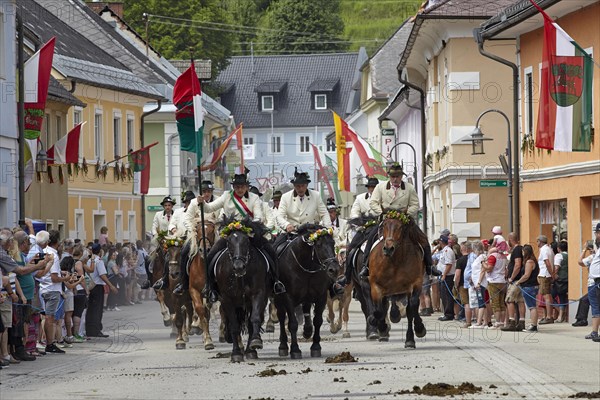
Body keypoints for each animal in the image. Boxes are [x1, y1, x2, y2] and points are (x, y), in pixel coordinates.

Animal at [213, 217, 272, 364]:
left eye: (246, 241)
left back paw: (251, 349)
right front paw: (236, 353)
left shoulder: (258, 294)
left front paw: (255, 343)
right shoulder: (227, 299)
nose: (239, 267)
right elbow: (234, 326)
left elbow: (254, 319)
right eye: (229, 242)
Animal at [276, 225, 340, 360]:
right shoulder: (288, 297)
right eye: (319, 245)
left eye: (333, 243)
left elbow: (318, 320)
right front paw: (295, 349)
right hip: (277, 298)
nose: (334, 269)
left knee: (305, 310)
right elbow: (293, 324)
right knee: (281, 316)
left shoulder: (321, 296)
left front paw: (316, 346)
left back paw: (307, 330)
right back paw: (283, 345)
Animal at [366, 214, 426, 348]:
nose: (388, 248)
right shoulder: (375, 286)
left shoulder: (415, 283)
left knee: (410, 310)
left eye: (401, 227)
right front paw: (379, 325)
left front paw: (419, 328)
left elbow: (413, 306)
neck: (394, 261)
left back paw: (410, 339)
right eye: (384, 225)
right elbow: (378, 311)